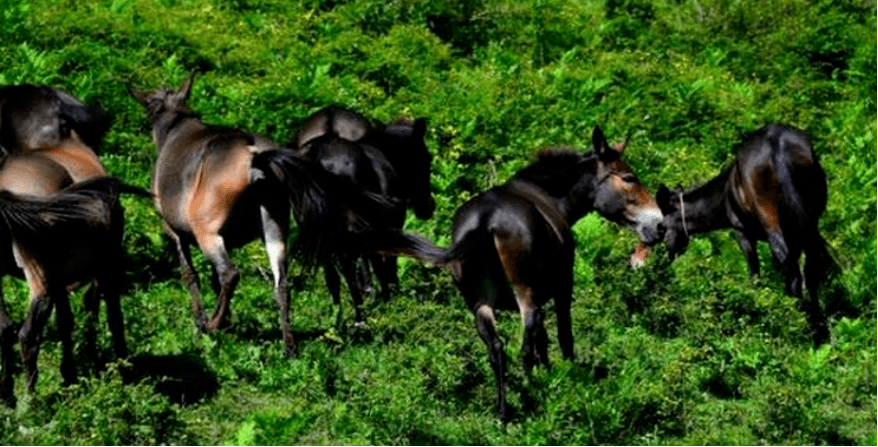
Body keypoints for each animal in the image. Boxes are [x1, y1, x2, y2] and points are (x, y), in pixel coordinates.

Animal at [294, 107, 434, 320]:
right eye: (426, 158)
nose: (428, 207)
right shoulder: (389, 225)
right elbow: (386, 263)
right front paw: (392, 300)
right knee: (349, 265)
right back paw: (361, 316)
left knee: (333, 274)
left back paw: (340, 318)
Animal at [368, 127, 664, 424]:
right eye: (629, 177)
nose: (660, 225)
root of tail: (485, 220)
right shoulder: (562, 287)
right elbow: (562, 338)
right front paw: (569, 382)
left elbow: (542, 341)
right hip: (525, 295)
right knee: (524, 348)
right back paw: (532, 396)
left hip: (480, 305)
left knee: (497, 350)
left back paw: (504, 411)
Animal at [648, 124, 836, 344]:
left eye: (661, 227)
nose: (663, 260)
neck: (726, 192)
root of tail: (775, 145)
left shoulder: (742, 233)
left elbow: (754, 274)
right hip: (809, 222)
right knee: (810, 269)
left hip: (772, 223)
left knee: (792, 269)